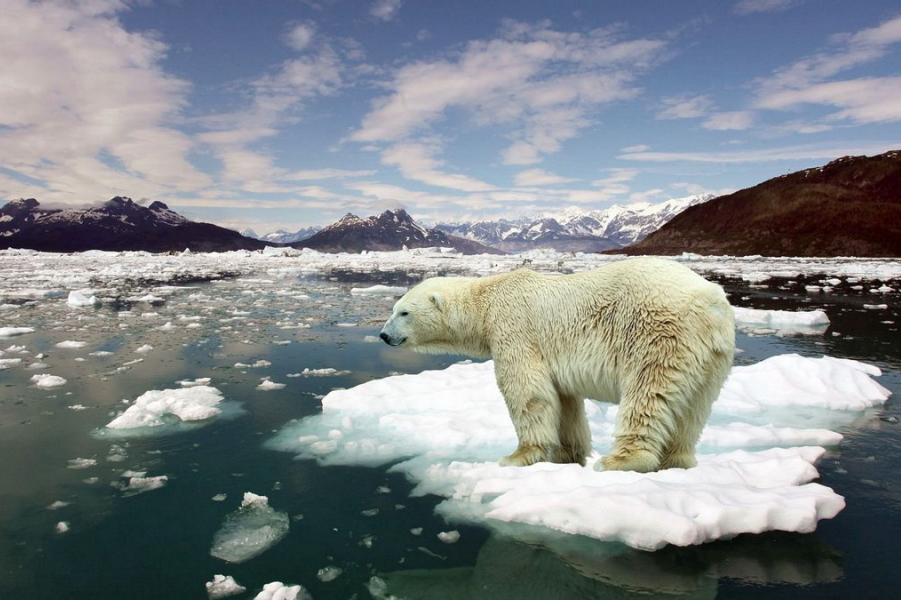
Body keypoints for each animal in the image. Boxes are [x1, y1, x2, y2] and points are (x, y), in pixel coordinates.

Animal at [376, 258, 736, 474]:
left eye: (403, 312)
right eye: (394, 309)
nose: (383, 335)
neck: (486, 301)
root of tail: (711, 302)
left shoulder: (514, 328)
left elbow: (527, 391)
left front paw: (517, 456)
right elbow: (564, 401)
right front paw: (567, 454)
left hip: (658, 333)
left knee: (648, 393)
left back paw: (620, 460)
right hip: (712, 357)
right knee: (694, 409)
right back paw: (677, 461)